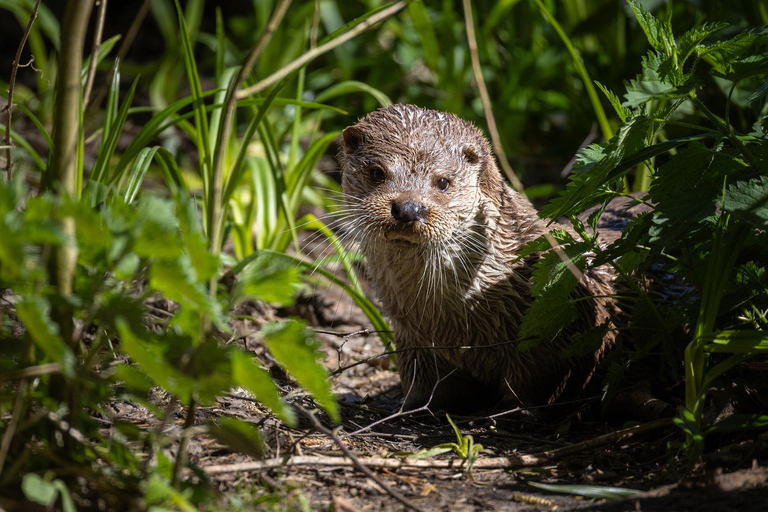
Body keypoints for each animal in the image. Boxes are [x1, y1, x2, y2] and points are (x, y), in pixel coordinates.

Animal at [338, 104, 623, 414]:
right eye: (377, 172)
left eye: (442, 182)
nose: (407, 207)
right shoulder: (415, 345)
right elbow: (425, 387)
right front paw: (411, 406)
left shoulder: (549, 336)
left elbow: (533, 386)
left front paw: (512, 410)